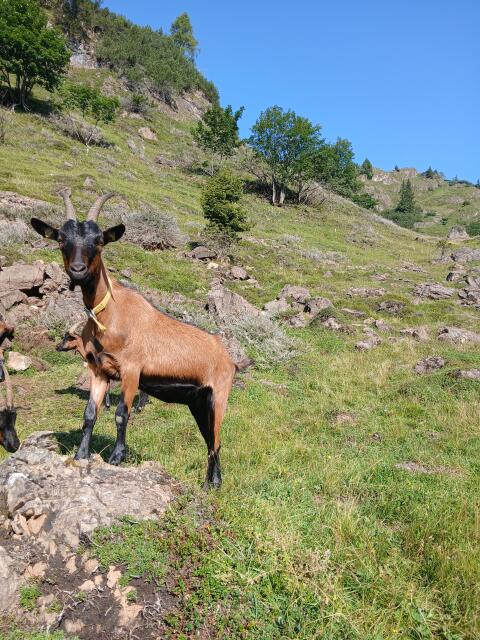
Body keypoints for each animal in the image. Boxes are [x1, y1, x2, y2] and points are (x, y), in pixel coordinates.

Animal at [31, 189, 236, 488]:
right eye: (61, 239)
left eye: (99, 241)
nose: (78, 270)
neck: (111, 315)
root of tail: (230, 359)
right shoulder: (99, 371)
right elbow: (90, 415)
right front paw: (81, 455)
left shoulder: (130, 371)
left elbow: (121, 414)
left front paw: (117, 457)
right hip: (197, 401)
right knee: (209, 439)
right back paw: (211, 483)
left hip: (219, 396)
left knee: (217, 437)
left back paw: (214, 483)